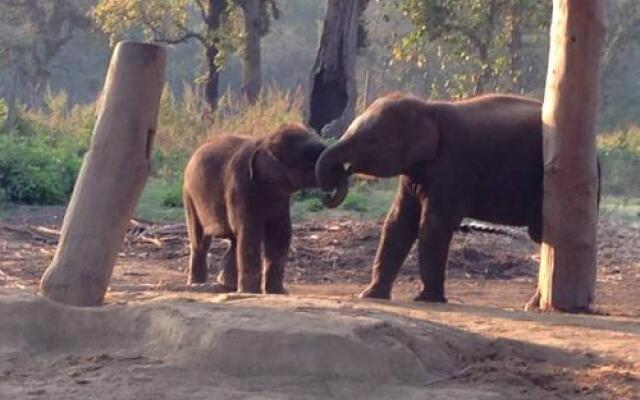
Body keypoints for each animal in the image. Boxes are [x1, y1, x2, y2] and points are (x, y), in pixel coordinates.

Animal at [185, 122, 344, 294]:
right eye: (309, 155)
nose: (326, 194)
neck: (265, 141)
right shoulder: (241, 187)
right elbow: (252, 232)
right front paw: (251, 292)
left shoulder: (280, 199)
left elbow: (280, 234)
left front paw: (278, 292)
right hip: (189, 195)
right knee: (200, 240)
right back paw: (197, 284)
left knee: (235, 240)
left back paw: (227, 285)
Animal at [316, 92, 552, 302]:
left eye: (372, 141)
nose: (341, 174)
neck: (428, 107)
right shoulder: (413, 172)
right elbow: (398, 223)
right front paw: (370, 295)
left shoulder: (451, 165)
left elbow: (433, 224)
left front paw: (426, 299)